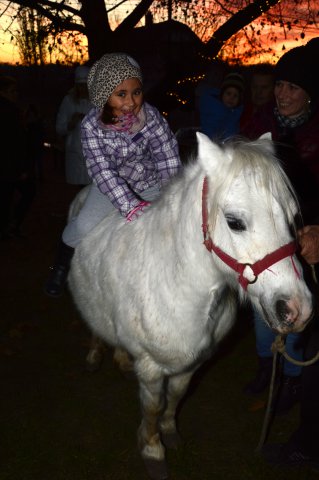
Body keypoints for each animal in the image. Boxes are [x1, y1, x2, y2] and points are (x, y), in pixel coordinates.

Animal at [69, 133, 314, 478]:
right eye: (235, 222)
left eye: (292, 217)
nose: (296, 308)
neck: (174, 284)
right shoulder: (150, 368)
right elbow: (153, 407)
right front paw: (152, 450)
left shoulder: (192, 362)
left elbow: (175, 396)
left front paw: (170, 432)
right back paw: (95, 355)